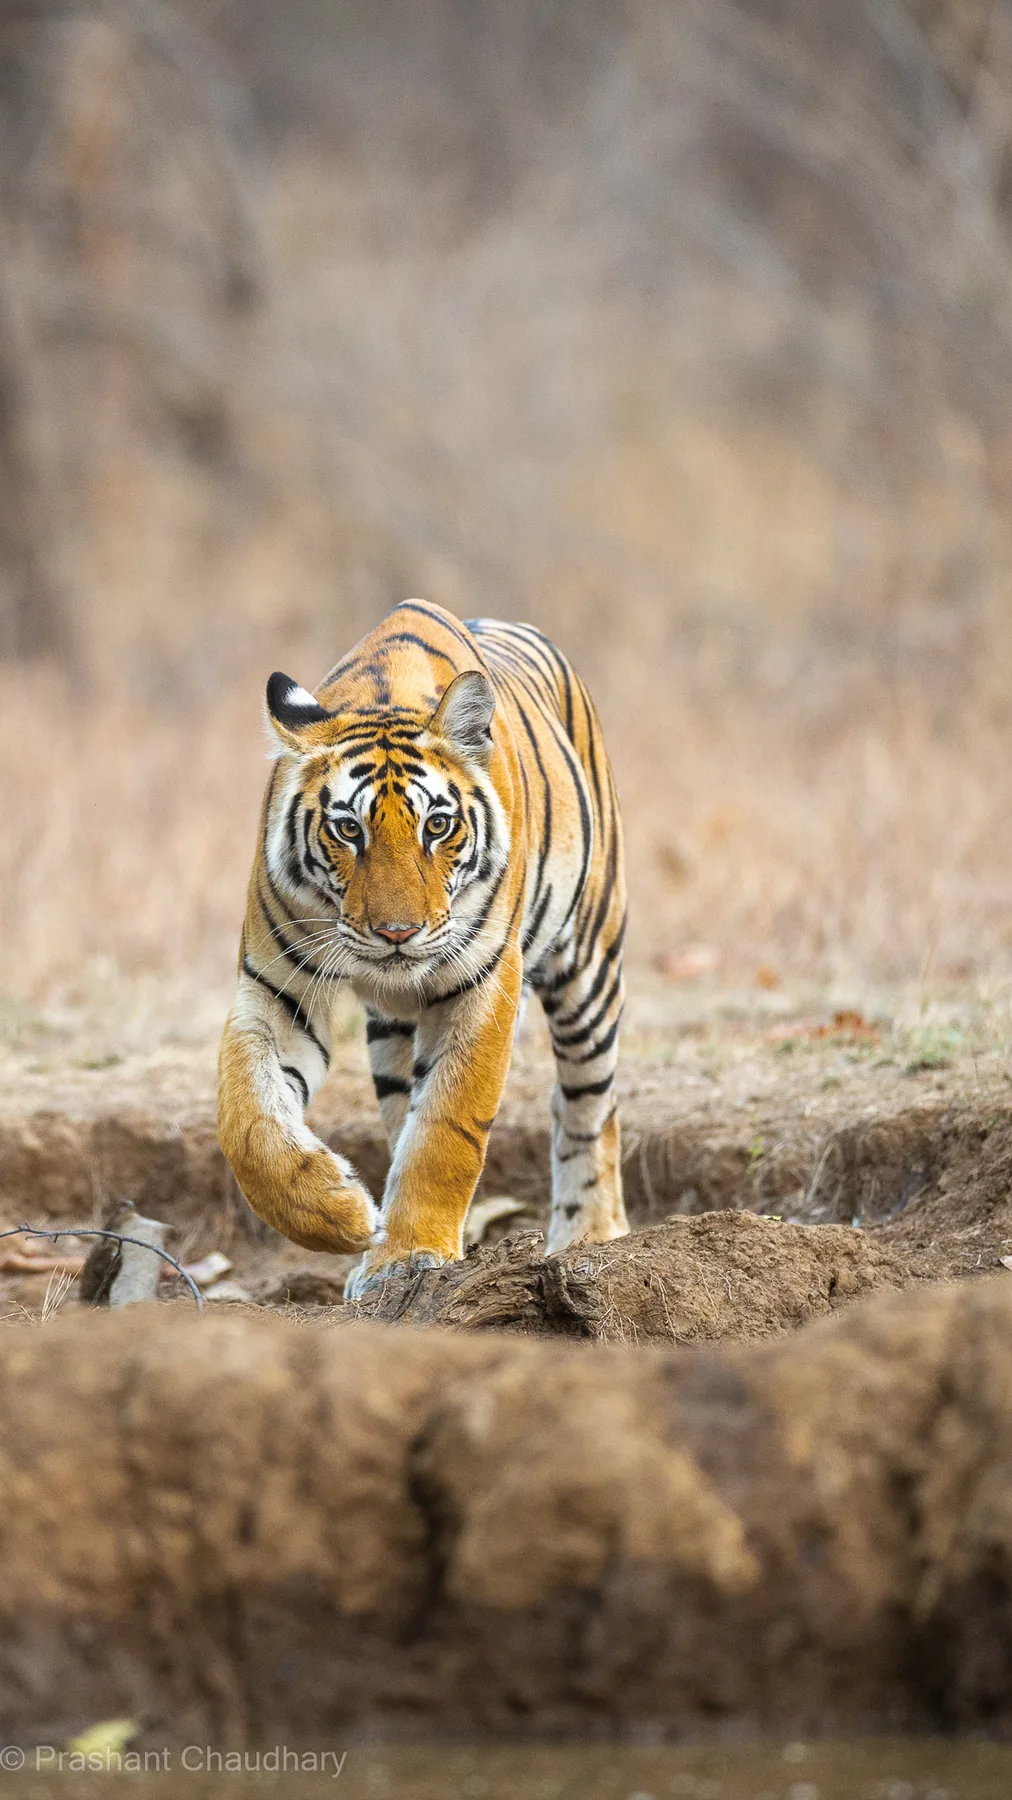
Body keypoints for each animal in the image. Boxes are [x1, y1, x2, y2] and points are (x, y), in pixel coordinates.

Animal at [218, 598, 628, 1296]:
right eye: (347, 830)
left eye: (437, 825)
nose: (397, 934)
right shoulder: (276, 987)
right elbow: (248, 1121)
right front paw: (343, 1216)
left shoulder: (483, 984)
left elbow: (445, 1128)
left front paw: (411, 1253)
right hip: (390, 1033)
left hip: (590, 964)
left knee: (587, 1102)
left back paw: (591, 1236)